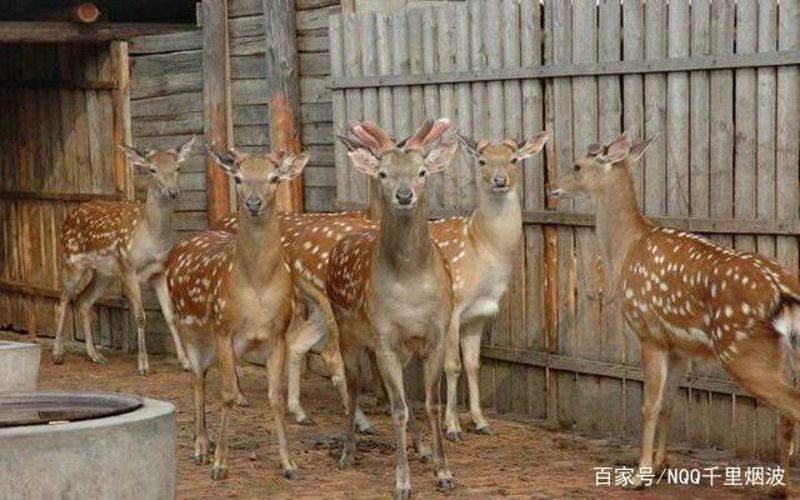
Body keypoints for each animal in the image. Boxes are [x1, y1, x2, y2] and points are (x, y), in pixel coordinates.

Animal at [53, 136, 195, 375]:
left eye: (178, 167)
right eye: (152, 169)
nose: (172, 191)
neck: (152, 237)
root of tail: (69, 216)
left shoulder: (159, 272)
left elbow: (171, 316)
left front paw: (185, 363)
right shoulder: (129, 269)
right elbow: (140, 316)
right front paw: (143, 365)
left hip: (104, 273)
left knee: (83, 301)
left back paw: (94, 355)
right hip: (72, 261)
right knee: (64, 298)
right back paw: (58, 354)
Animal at [164, 144, 309, 480]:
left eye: (274, 178)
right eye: (239, 178)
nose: (253, 203)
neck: (256, 290)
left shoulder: (278, 335)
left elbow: (275, 398)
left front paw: (290, 464)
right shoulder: (224, 328)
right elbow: (228, 394)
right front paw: (220, 464)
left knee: (205, 376)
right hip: (189, 327)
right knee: (197, 381)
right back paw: (201, 448)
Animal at [324, 119, 458, 499]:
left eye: (422, 171)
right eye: (383, 173)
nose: (404, 196)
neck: (411, 286)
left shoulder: (435, 336)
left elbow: (429, 404)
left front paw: (443, 471)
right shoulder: (384, 338)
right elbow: (397, 410)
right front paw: (402, 482)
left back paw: (422, 449)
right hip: (347, 331)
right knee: (354, 385)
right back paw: (348, 452)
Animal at [432, 130, 550, 442]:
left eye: (514, 159)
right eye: (482, 161)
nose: (499, 180)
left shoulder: (478, 314)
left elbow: (474, 365)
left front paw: (481, 422)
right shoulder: (453, 306)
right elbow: (452, 366)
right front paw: (452, 428)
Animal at [548, 131, 800, 493]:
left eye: (577, 165)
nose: (550, 185)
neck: (625, 249)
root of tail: (784, 289)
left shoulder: (648, 332)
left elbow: (649, 405)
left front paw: (638, 475)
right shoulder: (679, 346)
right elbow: (669, 404)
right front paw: (660, 466)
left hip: (743, 349)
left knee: (792, 406)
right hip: (781, 354)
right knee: (786, 416)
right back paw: (782, 487)